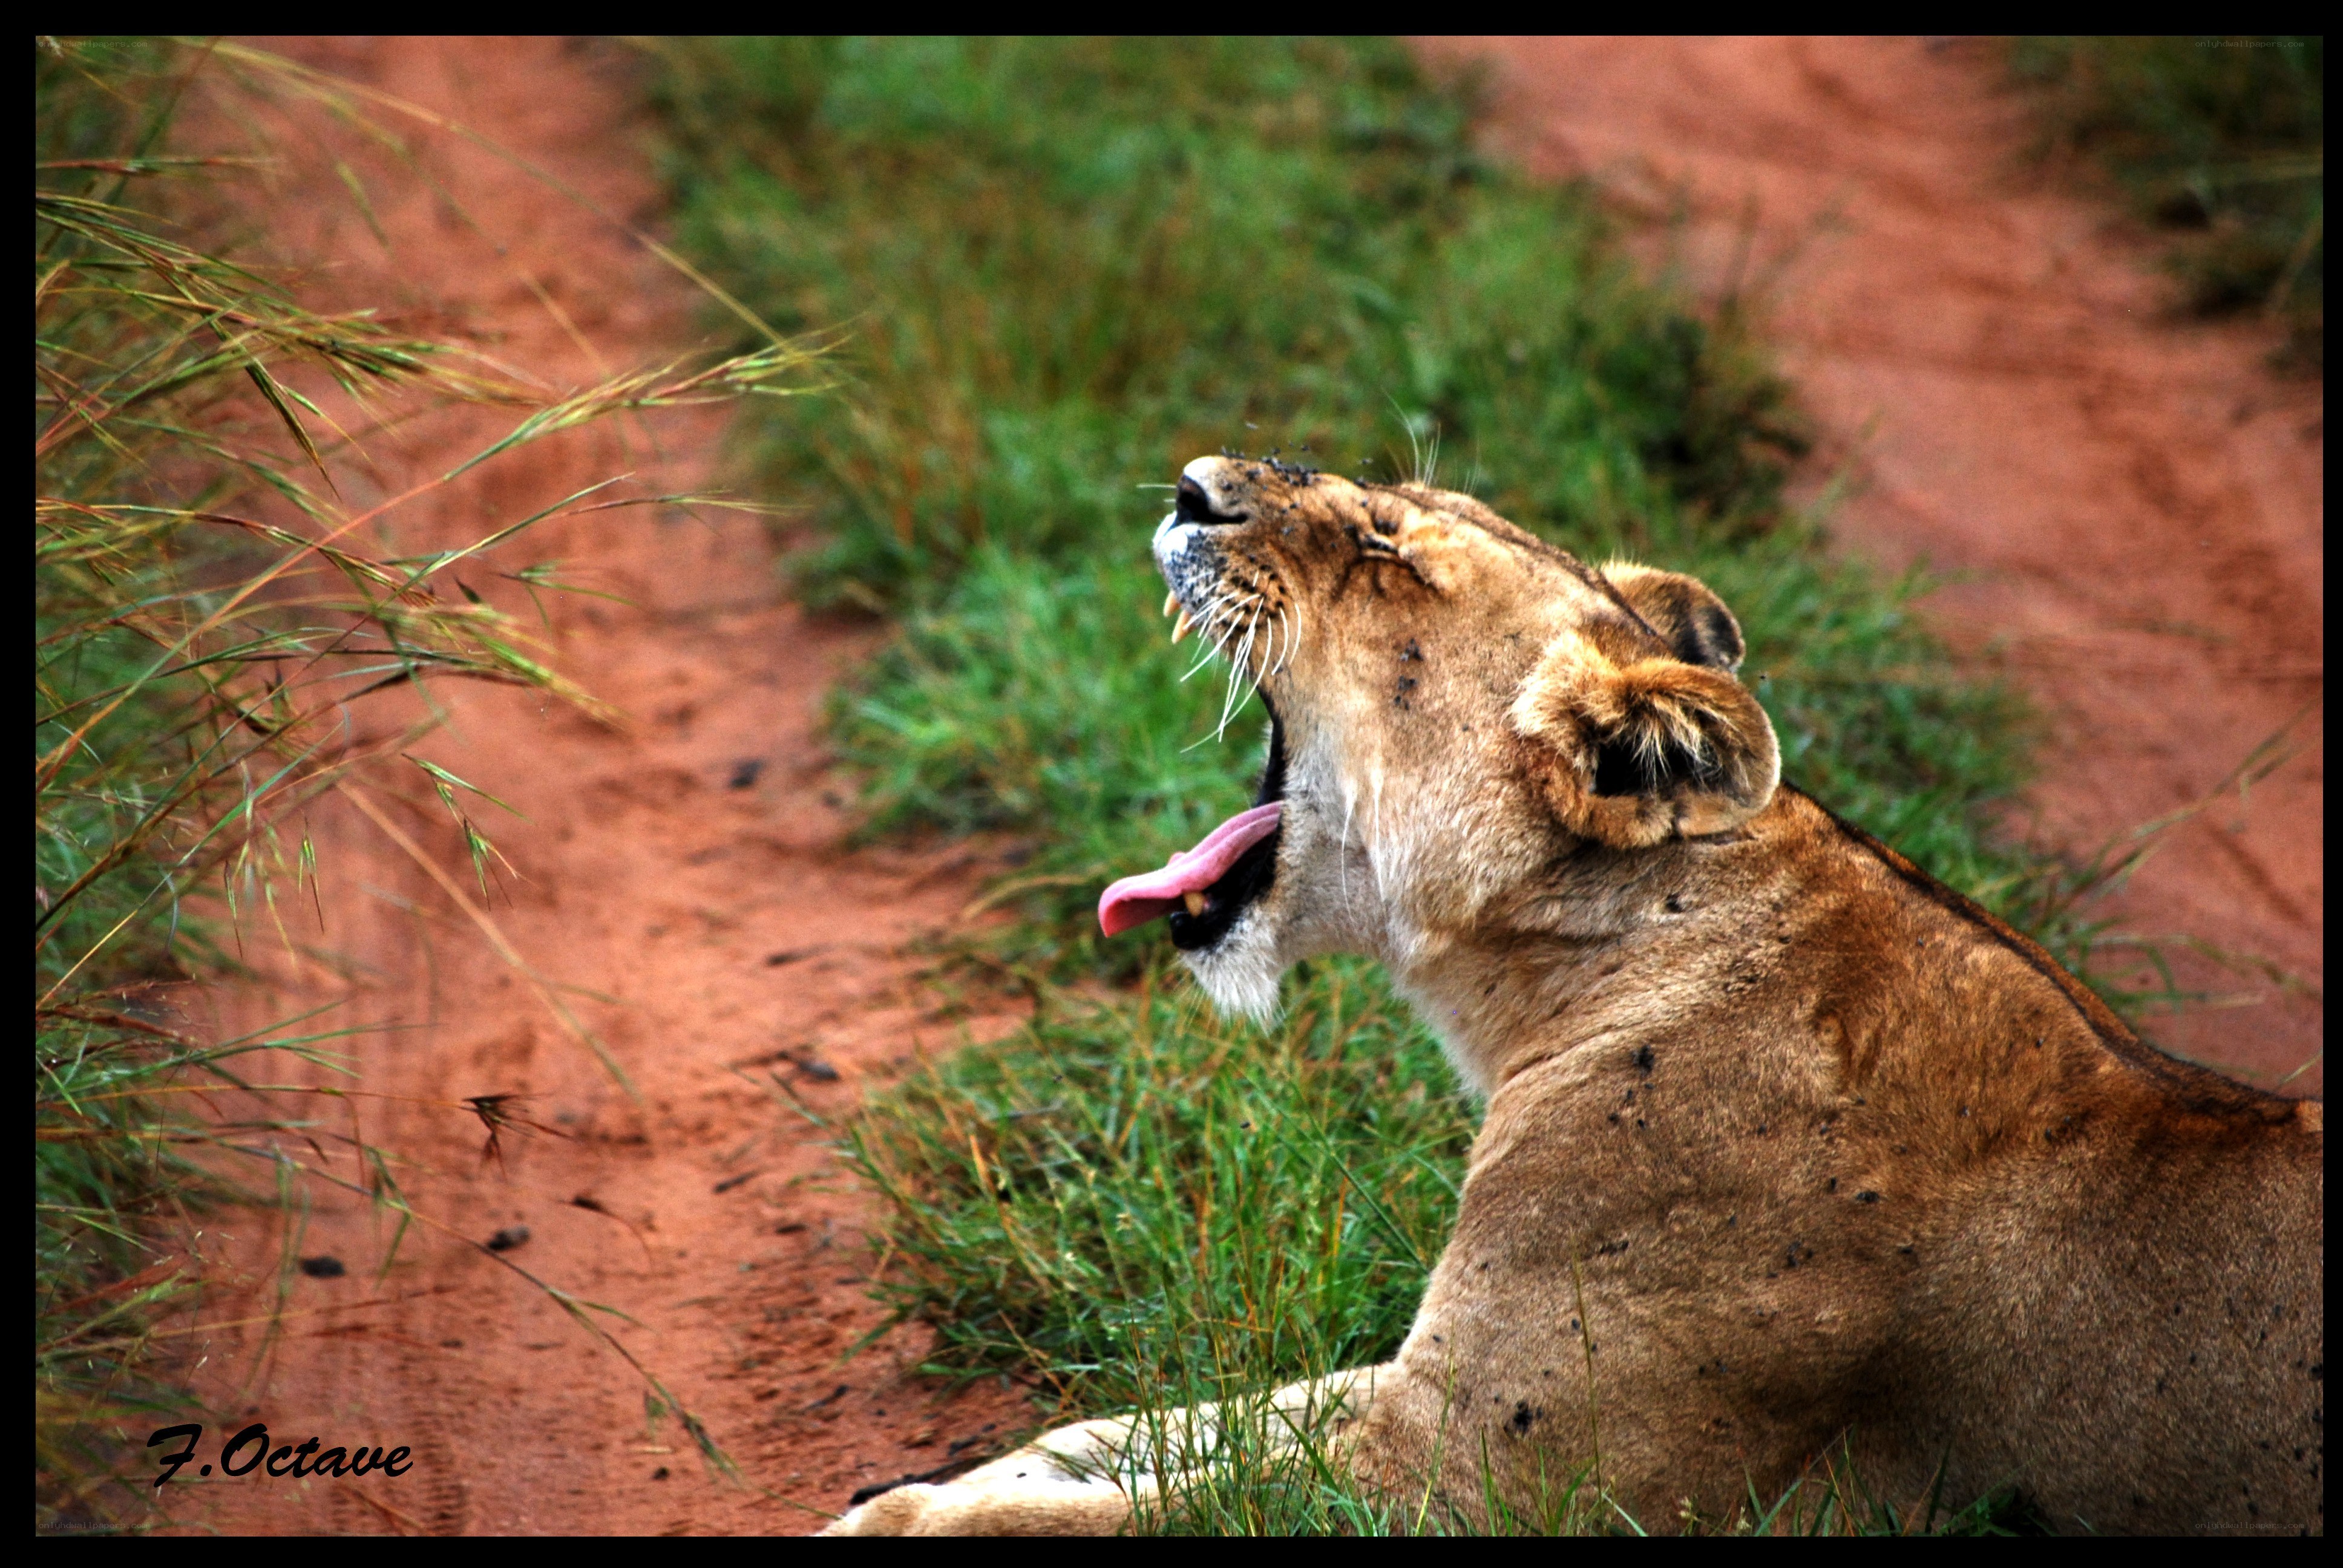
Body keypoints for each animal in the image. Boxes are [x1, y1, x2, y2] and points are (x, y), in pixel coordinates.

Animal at [825, 456, 2322, 1536]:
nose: (1190, 485)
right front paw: (944, 1480)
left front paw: (898, 1524)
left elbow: (1146, 1511)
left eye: (1384, 551)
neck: (1547, 988)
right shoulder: (1420, 1391)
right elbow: (1142, 1433)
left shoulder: (1466, 1483)